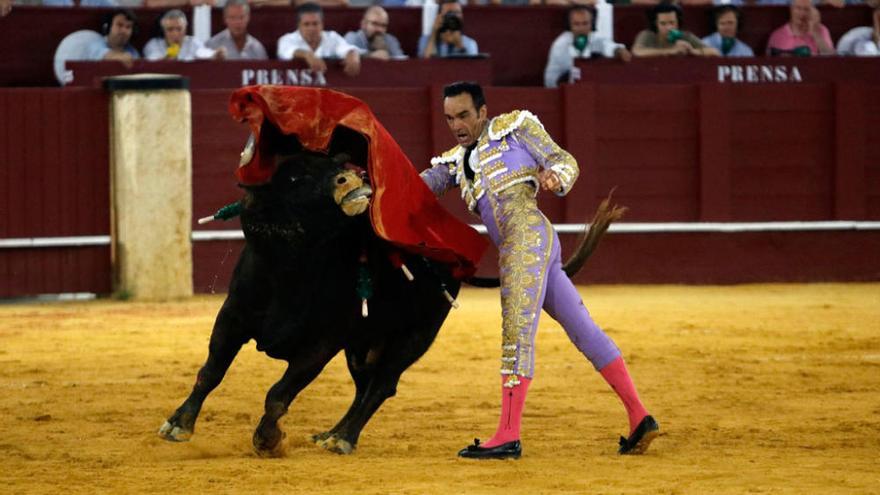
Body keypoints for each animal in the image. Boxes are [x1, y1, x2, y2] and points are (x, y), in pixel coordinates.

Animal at [160, 141, 624, 456]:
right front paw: (178, 425)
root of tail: (450, 261)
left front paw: (268, 438)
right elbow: (210, 372)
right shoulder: (233, 318)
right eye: (294, 178)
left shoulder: (320, 344)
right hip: (363, 345)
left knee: (382, 385)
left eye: (335, 166)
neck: (294, 267)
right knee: (365, 386)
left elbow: (279, 392)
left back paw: (343, 439)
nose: (351, 180)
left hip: (411, 339)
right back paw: (333, 433)